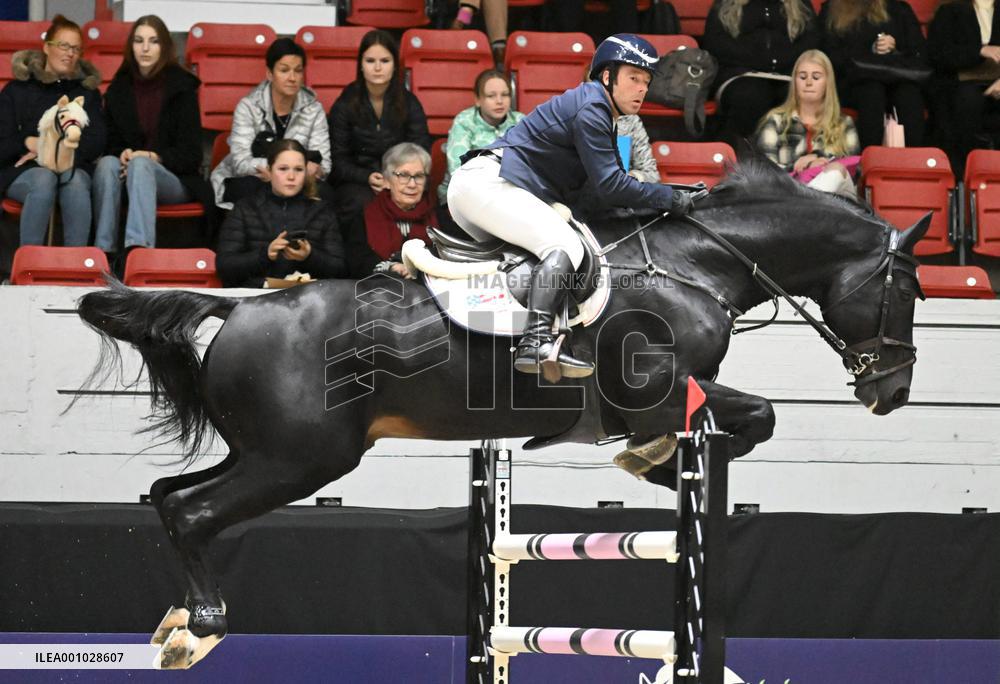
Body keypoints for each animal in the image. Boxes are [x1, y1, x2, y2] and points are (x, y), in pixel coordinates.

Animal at [76, 159, 929, 669]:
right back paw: (203, 625)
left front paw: (651, 461)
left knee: (169, 498)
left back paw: (176, 619)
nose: (891, 392)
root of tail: (240, 308)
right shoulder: (663, 387)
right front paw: (653, 460)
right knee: (193, 512)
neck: (700, 263)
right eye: (910, 289)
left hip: (263, 451)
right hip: (301, 460)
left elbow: (727, 428)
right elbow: (756, 418)